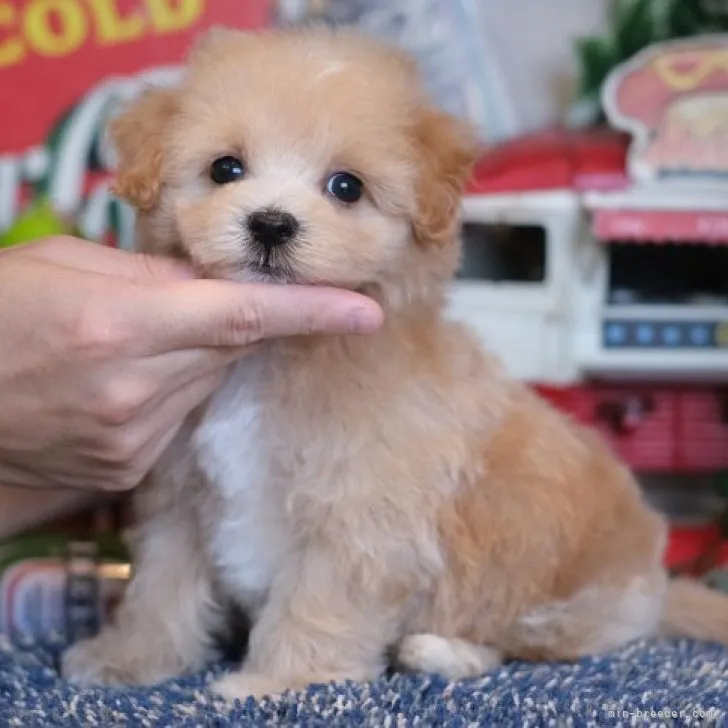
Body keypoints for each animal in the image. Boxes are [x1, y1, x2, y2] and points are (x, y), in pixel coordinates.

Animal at [61, 27, 728, 700]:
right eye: (225, 168)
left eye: (346, 187)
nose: (270, 224)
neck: (280, 352)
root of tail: (657, 587)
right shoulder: (183, 496)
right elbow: (162, 586)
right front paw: (131, 658)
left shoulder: (362, 514)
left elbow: (318, 601)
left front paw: (281, 681)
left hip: (562, 597)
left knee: (527, 644)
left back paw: (440, 652)